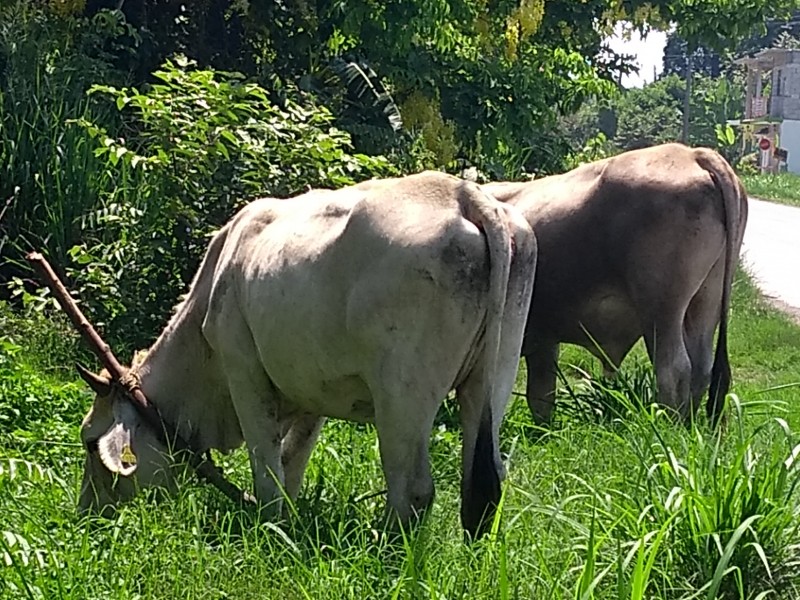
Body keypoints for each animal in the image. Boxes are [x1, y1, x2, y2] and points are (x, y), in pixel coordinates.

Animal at [76, 171, 536, 536]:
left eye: (89, 442)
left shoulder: (244, 372)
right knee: (485, 483)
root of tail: (464, 194)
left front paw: (270, 528)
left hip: (403, 396)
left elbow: (267, 468)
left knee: (414, 489)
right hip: (492, 379)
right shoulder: (313, 391)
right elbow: (292, 460)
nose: (86, 513)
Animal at [482, 144, 752, 426]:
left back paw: (668, 426)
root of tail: (691, 153)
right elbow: (541, 396)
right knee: (701, 369)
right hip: (706, 301)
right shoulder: (545, 339)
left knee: (674, 369)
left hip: (661, 308)